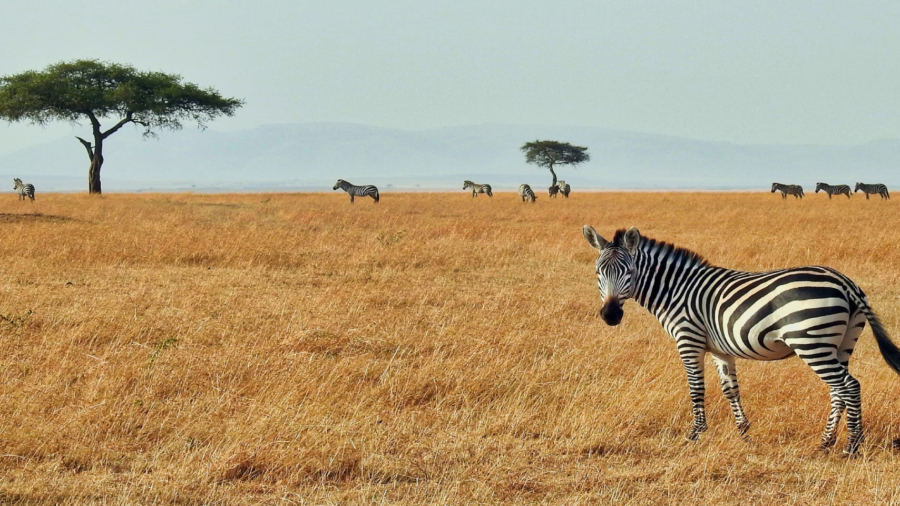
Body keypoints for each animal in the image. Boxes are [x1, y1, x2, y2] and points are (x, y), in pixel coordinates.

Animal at [584, 225, 900, 454]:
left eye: (628, 271)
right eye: (599, 272)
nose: (610, 315)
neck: (675, 290)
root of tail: (845, 283)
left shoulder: (689, 340)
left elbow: (696, 389)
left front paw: (695, 434)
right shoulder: (719, 349)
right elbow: (730, 390)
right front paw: (743, 432)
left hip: (812, 342)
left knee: (849, 386)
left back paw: (852, 445)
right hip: (842, 344)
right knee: (838, 391)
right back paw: (826, 442)